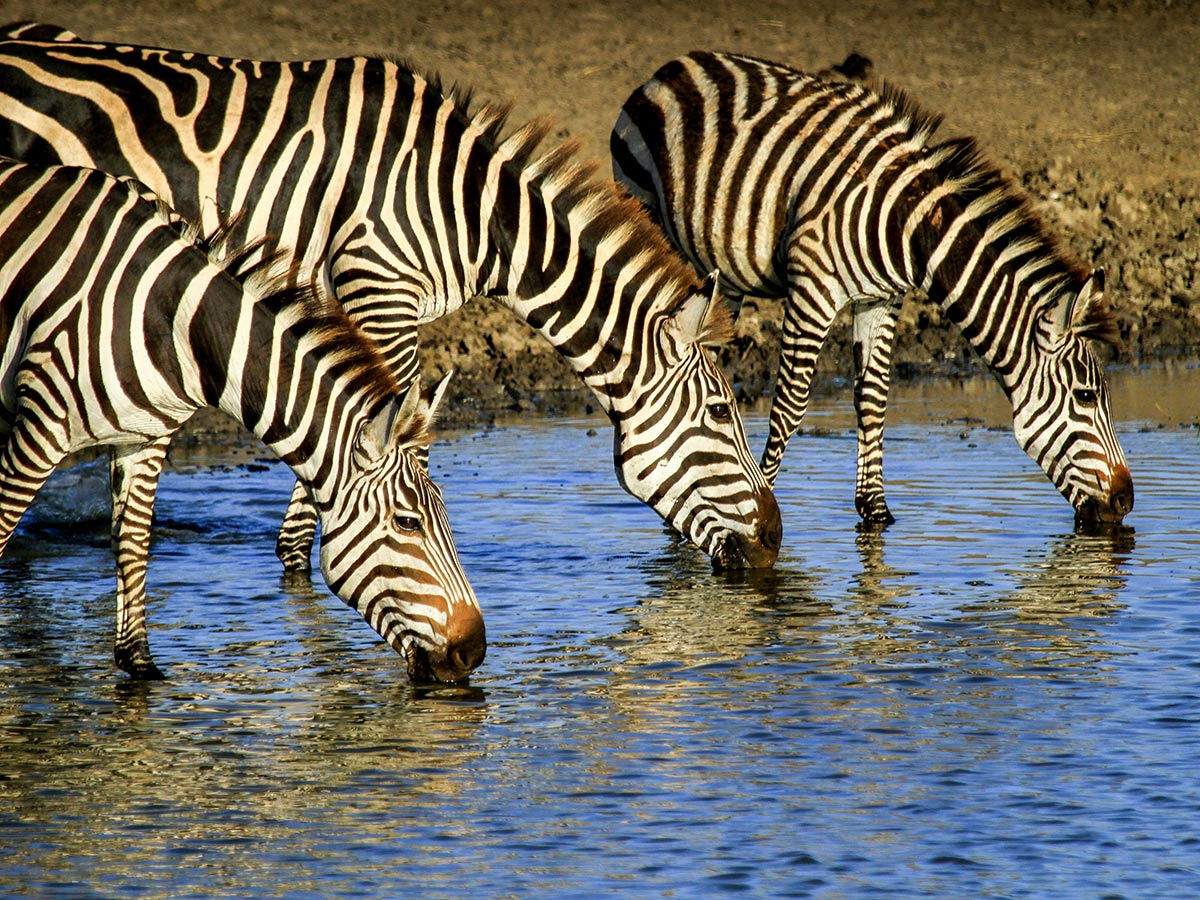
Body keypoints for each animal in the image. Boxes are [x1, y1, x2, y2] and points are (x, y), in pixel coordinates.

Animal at [1, 160, 487, 681]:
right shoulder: (41, 427)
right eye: (408, 523)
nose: (475, 651)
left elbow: (133, 546)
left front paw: (141, 668)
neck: (177, 325)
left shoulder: (146, 438)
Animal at [609, 47, 1132, 528]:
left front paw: (875, 511)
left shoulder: (882, 299)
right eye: (1087, 397)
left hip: (724, 275)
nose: (1126, 501)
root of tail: (678, 64)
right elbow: (790, 405)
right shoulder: (813, 289)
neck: (910, 228)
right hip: (647, 214)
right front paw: (761, 501)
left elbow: (873, 399)